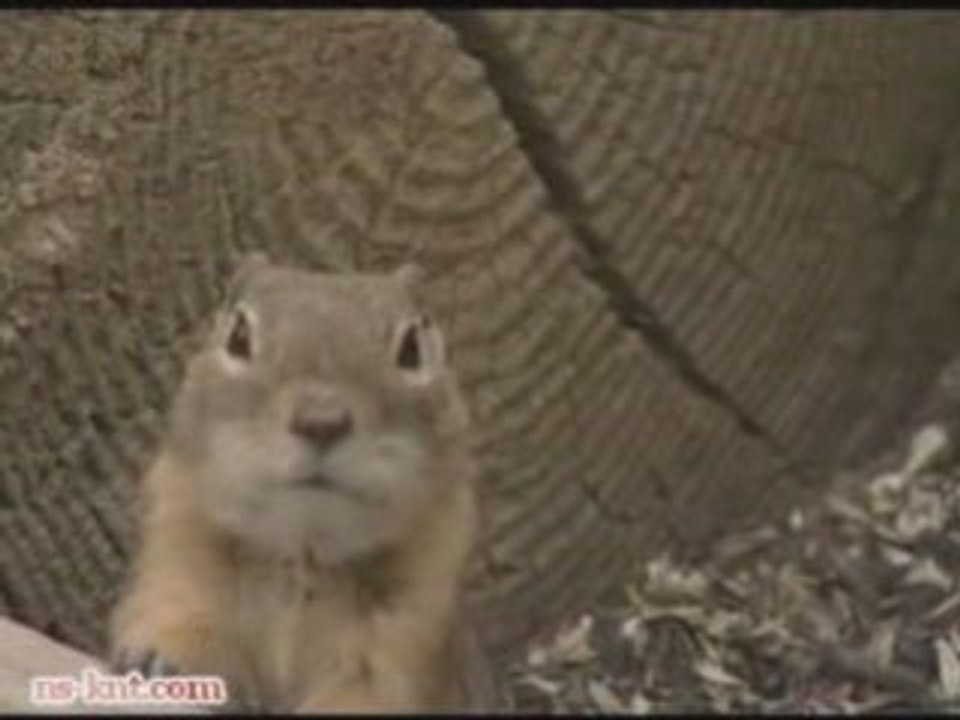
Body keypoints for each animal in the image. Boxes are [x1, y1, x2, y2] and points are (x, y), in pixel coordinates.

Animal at [109, 252, 496, 713]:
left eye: (412, 349)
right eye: (238, 335)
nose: (322, 420)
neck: (300, 553)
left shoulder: (412, 620)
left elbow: (363, 694)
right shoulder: (179, 555)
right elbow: (183, 626)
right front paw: (158, 660)